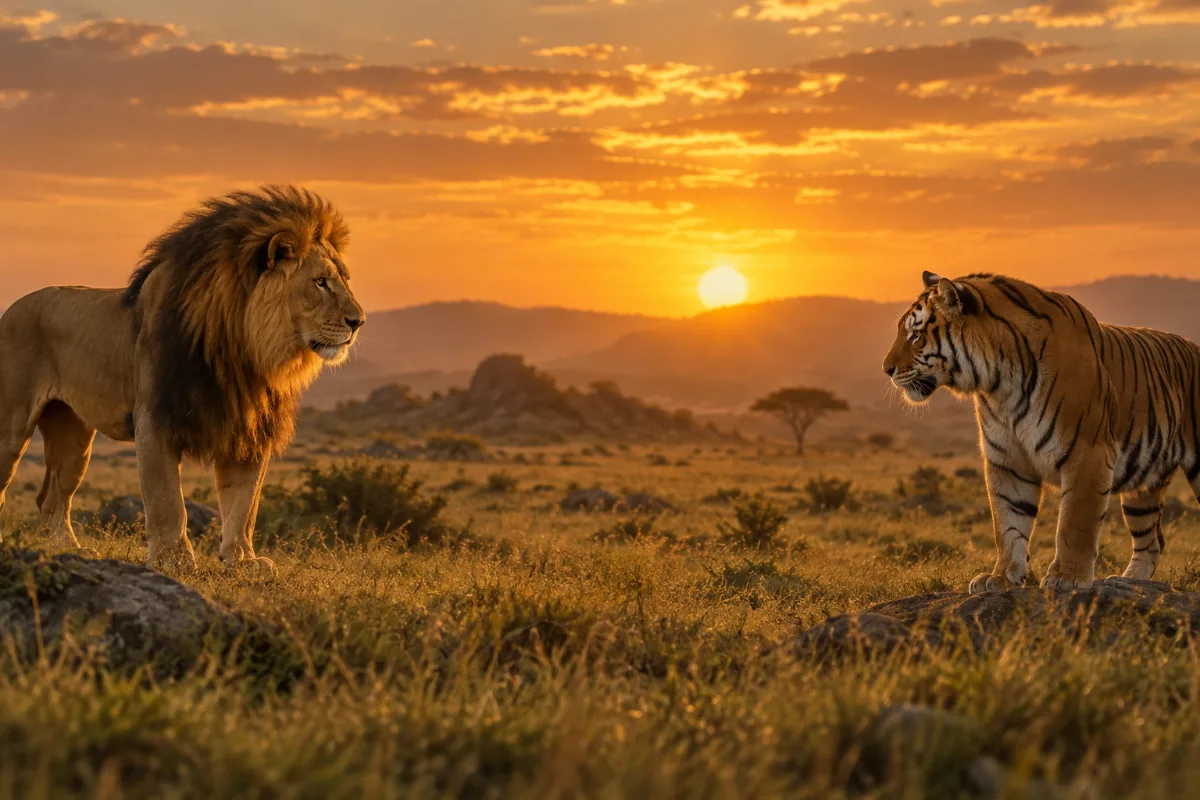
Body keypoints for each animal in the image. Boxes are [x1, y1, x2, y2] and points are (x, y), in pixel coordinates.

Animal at [0, 185, 365, 570]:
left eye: (345, 280)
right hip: (11, 427)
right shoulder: (154, 419)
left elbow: (244, 502)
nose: (359, 321)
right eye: (320, 282)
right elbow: (167, 500)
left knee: (52, 498)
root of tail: (11, 309)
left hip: (74, 436)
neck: (244, 349)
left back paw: (72, 549)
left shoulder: (249, 427)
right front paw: (172, 558)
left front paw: (242, 559)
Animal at [883, 271, 1200, 593]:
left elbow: (1075, 523)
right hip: (1142, 492)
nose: (886, 369)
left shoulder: (1088, 455)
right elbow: (1008, 524)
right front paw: (1001, 577)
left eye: (916, 336)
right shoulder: (1007, 460)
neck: (999, 385)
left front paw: (1067, 577)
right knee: (1153, 540)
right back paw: (1129, 581)